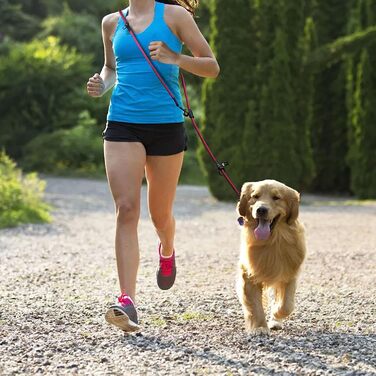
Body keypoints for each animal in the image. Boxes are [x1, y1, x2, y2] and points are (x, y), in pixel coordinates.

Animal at [236, 179, 306, 334]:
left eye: (276, 198)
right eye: (255, 196)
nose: (261, 210)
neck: (272, 241)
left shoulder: (289, 274)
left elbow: (286, 305)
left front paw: (275, 315)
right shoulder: (249, 275)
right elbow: (255, 305)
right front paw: (260, 327)